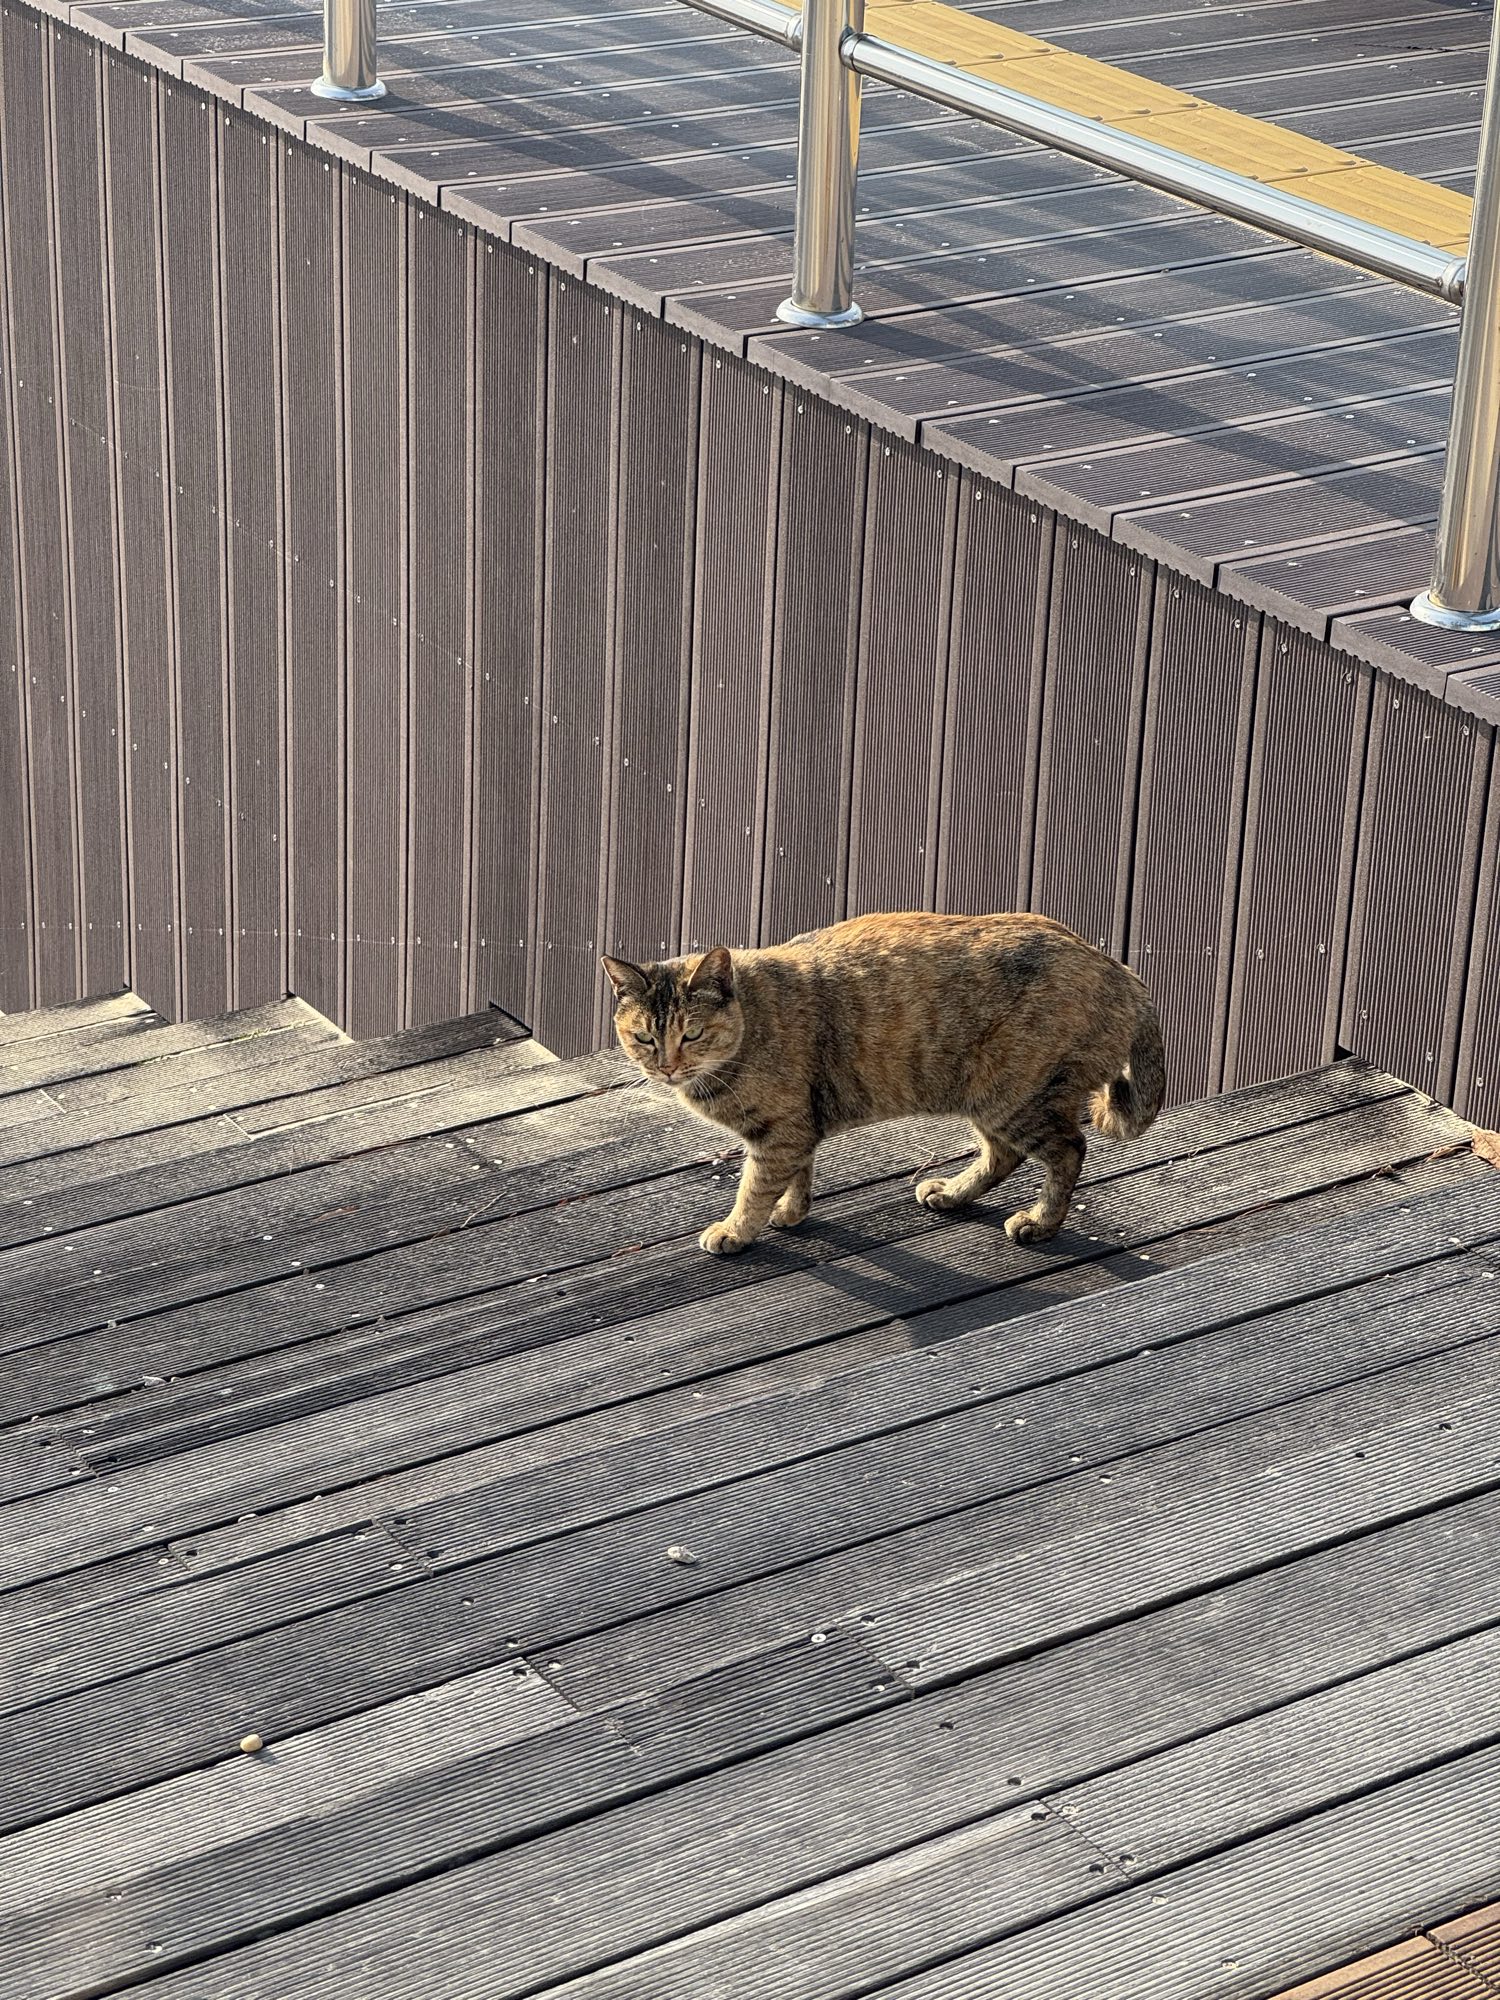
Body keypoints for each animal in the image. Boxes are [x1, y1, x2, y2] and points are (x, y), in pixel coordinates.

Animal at [602, 910, 1164, 1256]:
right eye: (645, 1038)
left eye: (691, 1033)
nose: (666, 1067)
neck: (753, 1021)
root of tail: (1125, 974)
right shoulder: (797, 1127)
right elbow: (798, 1177)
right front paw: (792, 1212)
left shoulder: (780, 1131)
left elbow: (753, 1189)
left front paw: (736, 1231)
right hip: (988, 1096)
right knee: (1003, 1155)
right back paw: (952, 1193)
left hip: (1015, 1095)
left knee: (1069, 1149)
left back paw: (1040, 1222)